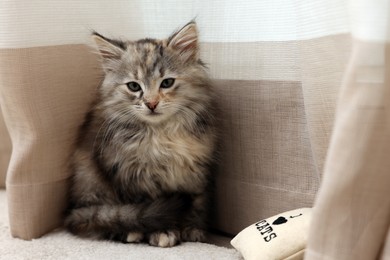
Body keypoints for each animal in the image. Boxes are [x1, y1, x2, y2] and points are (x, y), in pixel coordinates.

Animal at [63, 22, 216, 248]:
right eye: (134, 86)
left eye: (167, 83)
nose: (151, 103)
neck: (161, 135)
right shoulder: (132, 174)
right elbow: (149, 206)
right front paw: (162, 232)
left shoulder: (195, 170)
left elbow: (197, 201)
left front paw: (191, 228)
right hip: (91, 183)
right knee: (98, 219)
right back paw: (129, 232)